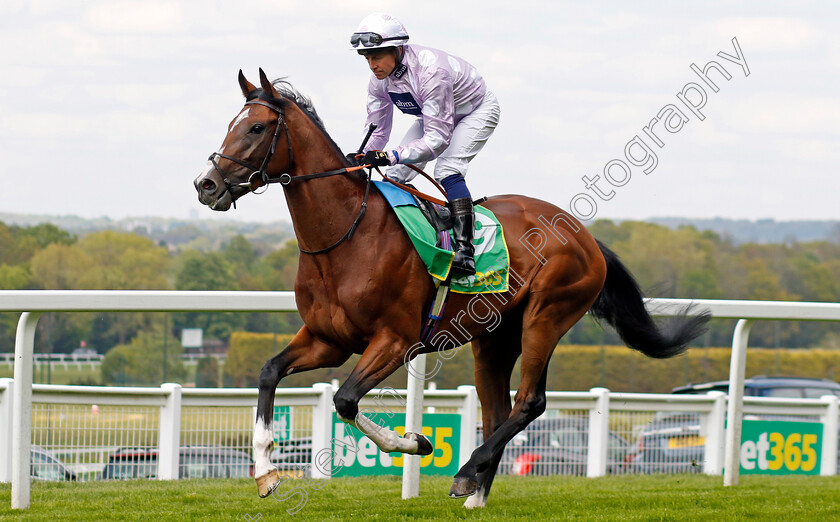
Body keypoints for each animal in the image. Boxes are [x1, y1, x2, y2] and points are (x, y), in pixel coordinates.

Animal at [192, 70, 708, 508]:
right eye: (232, 125)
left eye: (257, 128)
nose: (206, 184)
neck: (346, 237)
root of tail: (585, 235)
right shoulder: (327, 340)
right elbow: (268, 372)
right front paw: (266, 472)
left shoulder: (395, 340)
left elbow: (345, 400)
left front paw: (415, 441)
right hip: (495, 337)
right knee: (499, 409)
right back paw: (476, 494)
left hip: (547, 317)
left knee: (529, 402)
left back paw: (465, 474)